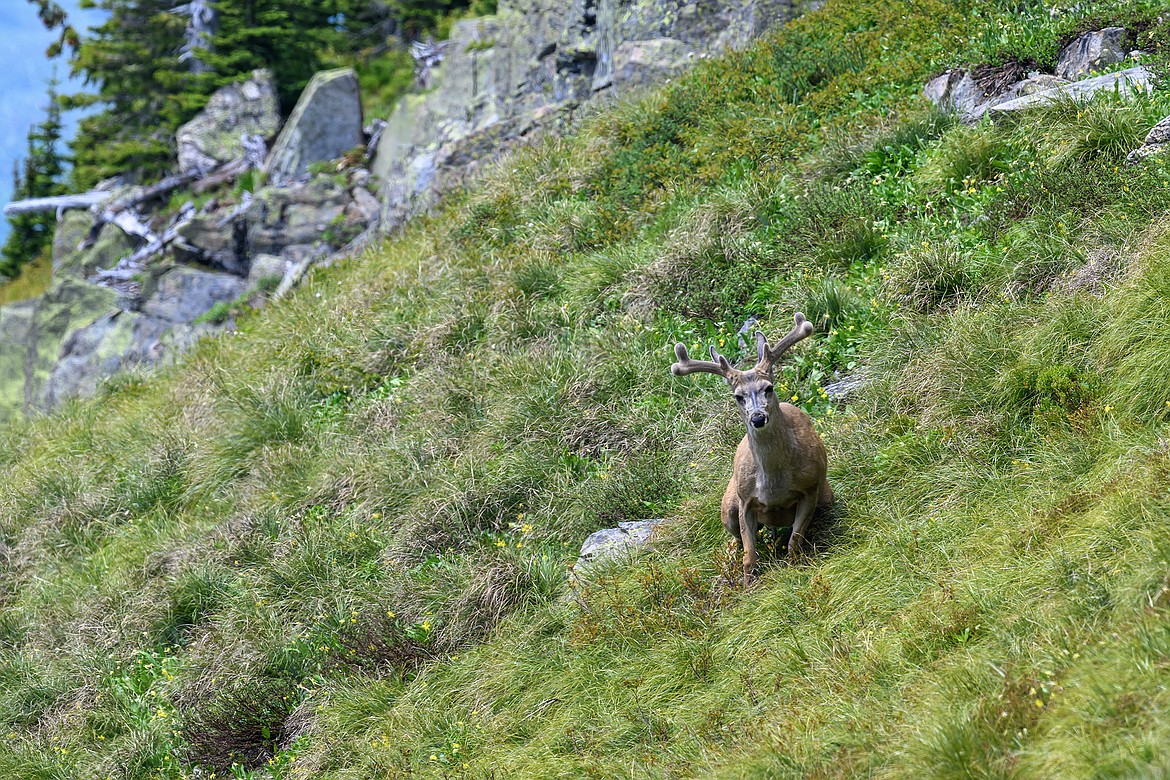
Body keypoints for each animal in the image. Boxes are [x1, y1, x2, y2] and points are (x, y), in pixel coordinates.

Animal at [669, 313, 833, 584]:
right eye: (738, 396)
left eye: (768, 387)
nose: (757, 418)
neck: (775, 485)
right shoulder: (744, 499)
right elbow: (749, 555)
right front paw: (747, 584)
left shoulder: (811, 487)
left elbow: (794, 541)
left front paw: (794, 567)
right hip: (728, 505)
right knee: (733, 541)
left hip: (826, 497)